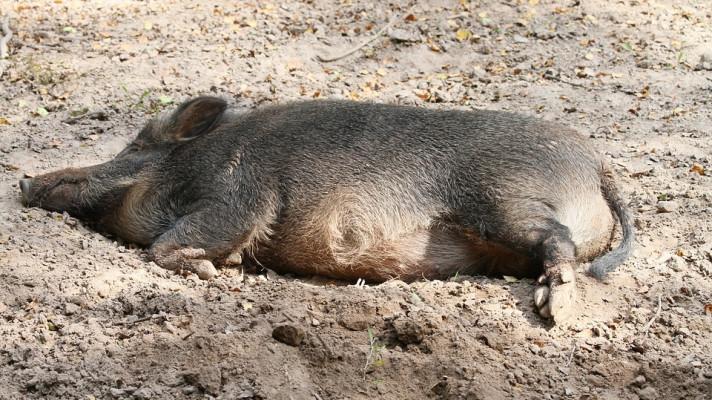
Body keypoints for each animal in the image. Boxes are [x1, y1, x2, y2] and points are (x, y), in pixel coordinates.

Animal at [20, 97, 636, 324]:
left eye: (134, 146)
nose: (25, 179)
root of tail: (598, 163)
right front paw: (231, 269)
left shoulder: (238, 192)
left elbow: (165, 244)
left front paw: (215, 271)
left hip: (506, 200)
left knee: (557, 242)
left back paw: (556, 310)